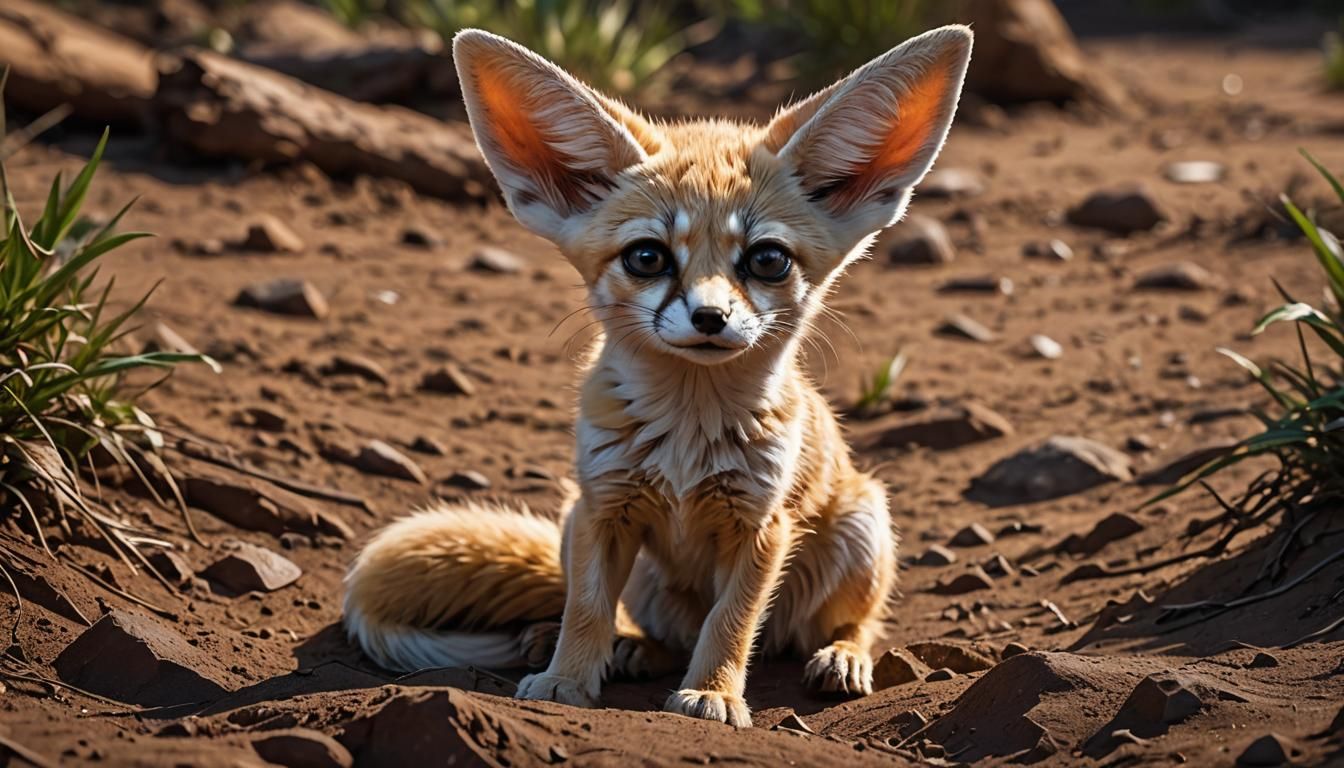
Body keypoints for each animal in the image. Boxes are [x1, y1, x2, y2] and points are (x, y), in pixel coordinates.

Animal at [343, 25, 973, 727]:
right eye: (647, 257)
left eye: (768, 260)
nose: (709, 316)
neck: (686, 443)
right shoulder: (604, 505)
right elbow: (586, 608)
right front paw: (566, 680)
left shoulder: (760, 523)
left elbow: (730, 622)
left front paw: (714, 694)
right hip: (599, 541)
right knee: (660, 630)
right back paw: (631, 649)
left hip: (866, 526)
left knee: (854, 621)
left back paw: (841, 657)